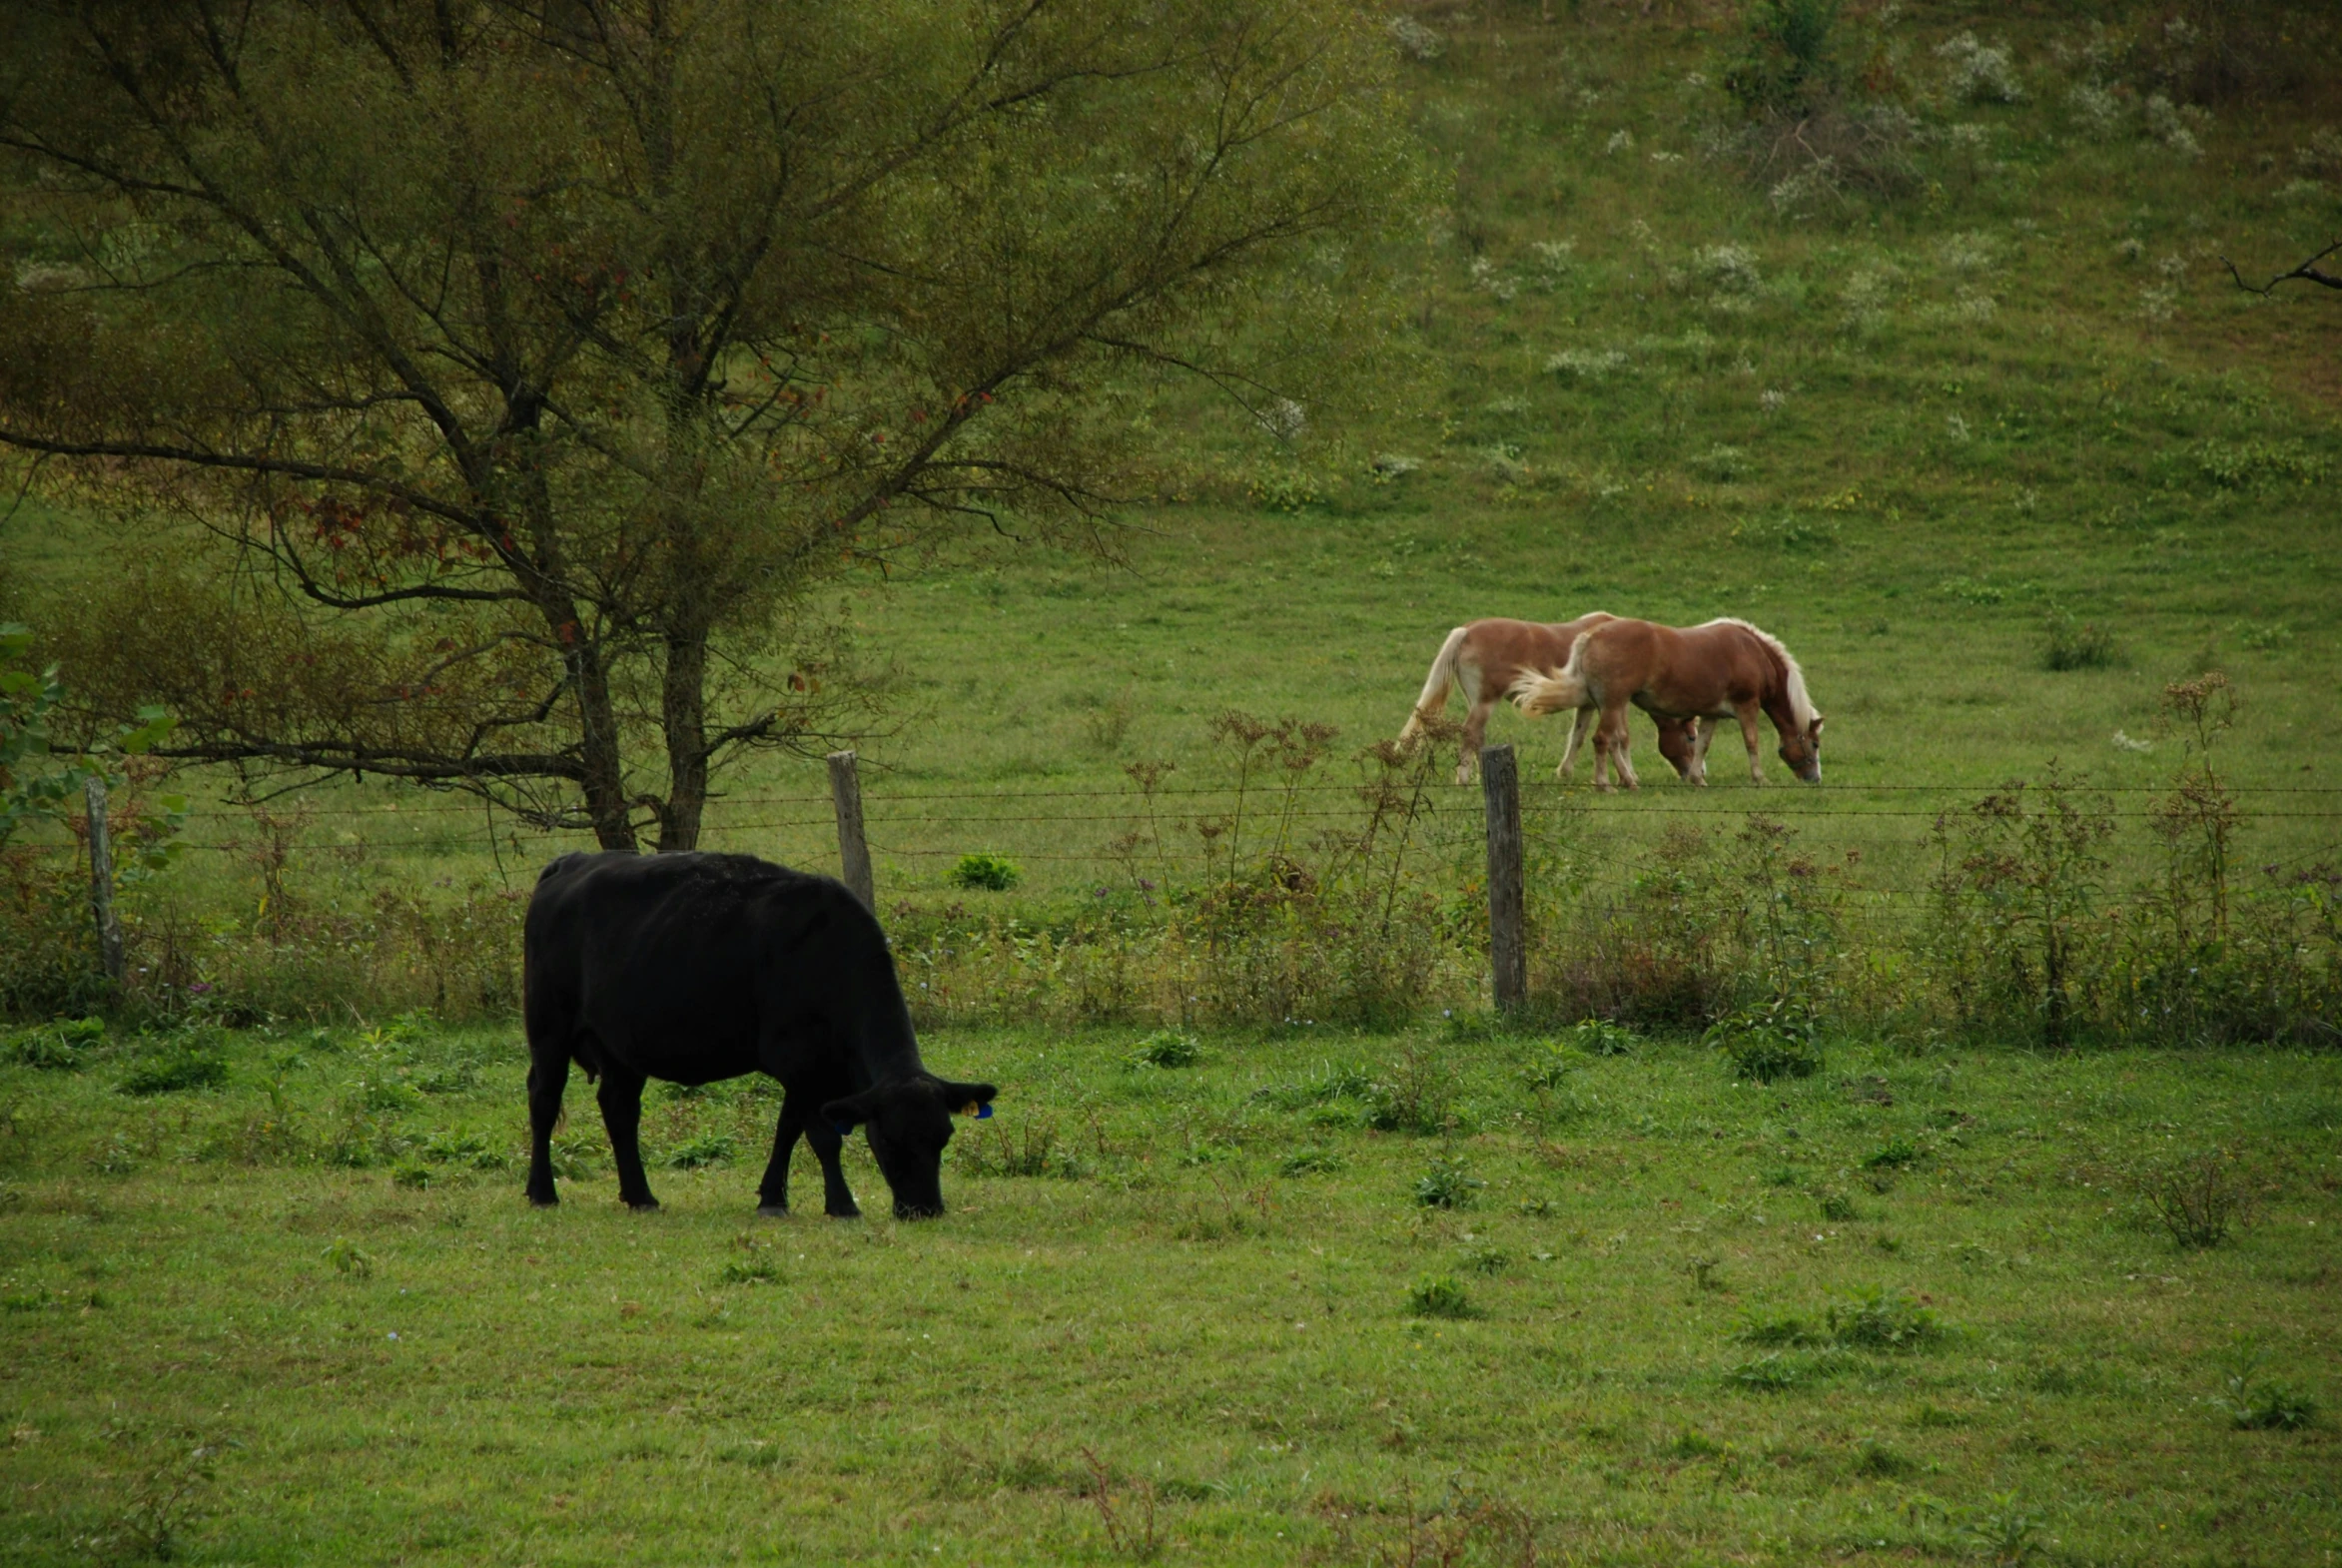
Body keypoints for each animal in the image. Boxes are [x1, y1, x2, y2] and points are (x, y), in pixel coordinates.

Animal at [521, 851, 997, 1225]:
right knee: (544, 1100)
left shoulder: (816, 1071)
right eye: (890, 1140)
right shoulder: (800, 1063)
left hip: (622, 1046)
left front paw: (773, 1198)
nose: (925, 1209)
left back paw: (641, 1196)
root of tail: (573, 861)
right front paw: (842, 1205)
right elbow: (822, 1137)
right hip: (548, 1027)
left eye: (943, 1137)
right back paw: (543, 1192)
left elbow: (788, 1130)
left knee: (619, 1109)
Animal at [1395, 612, 1695, 786]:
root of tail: (1467, 631)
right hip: (1484, 703)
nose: (1690, 772)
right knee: (1470, 734)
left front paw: (1565, 772)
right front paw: (1629, 776)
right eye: (1691, 737)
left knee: (1477, 736)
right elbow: (1621, 737)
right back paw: (1464, 779)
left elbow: (1578, 736)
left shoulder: (1589, 705)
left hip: (1478, 703)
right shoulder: (1614, 702)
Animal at [1517, 617, 1827, 791]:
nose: (1815, 778)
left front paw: (1697, 778)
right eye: (1814, 744)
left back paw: (1627, 780)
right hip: (1614, 703)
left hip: (1605, 705)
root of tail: (1591, 635)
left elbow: (1703, 745)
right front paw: (1760, 778)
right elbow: (1752, 742)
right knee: (1602, 740)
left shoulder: (1711, 714)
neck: (1752, 652)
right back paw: (1606, 784)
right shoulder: (1747, 706)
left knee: (1609, 740)